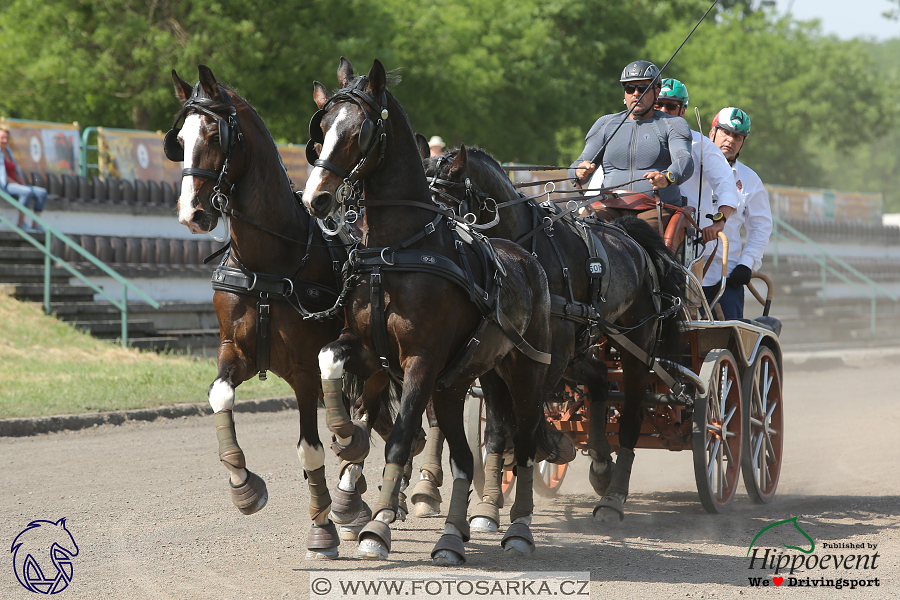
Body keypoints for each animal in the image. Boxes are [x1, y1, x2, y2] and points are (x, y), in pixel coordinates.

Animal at [166, 68, 372, 560]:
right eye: (178, 139)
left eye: (214, 135)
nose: (191, 213)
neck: (271, 263)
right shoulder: (235, 352)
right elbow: (220, 395)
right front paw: (244, 487)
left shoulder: (305, 371)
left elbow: (311, 449)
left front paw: (322, 530)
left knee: (376, 418)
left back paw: (349, 498)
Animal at [306, 56, 552, 564]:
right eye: (321, 128)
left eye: (359, 130)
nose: (315, 198)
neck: (395, 251)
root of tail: (527, 258)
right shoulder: (369, 352)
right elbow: (330, 362)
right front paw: (346, 436)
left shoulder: (421, 361)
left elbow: (401, 438)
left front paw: (377, 527)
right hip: (457, 384)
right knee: (463, 458)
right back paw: (451, 536)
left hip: (524, 374)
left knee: (524, 443)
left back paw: (518, 528)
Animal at [418, 143, 684, 524]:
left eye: (442, 202)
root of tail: (631, 239)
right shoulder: (493, 356)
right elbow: (498, 427)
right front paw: (492, 497)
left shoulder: (550, 355)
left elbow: (527, 413)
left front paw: (551, 447)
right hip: (581, 350)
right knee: (599, 379)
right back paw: (600, 465)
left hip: (636, 347)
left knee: (631, 417)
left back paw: (613, 498)